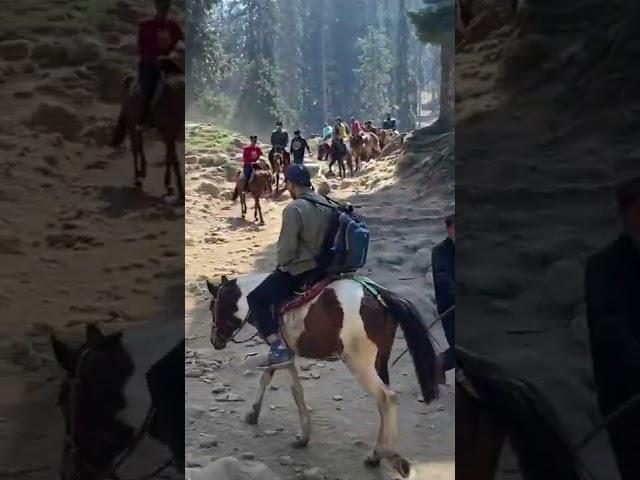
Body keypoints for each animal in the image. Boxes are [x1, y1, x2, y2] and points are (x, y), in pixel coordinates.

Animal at [110, 58, 184, 201]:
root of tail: (129, 79)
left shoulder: (168, 135)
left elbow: (170, 157)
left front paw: (169, 185)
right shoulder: (169, 134)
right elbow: (174, 159)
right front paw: (180, 191)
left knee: (139, 144)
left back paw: (142, 172)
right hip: (131, 123)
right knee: (135, 148)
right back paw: (138, 178)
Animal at [205, 272, 440, 478]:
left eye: (211, 307)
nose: (214, 340)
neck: (253, 297)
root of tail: (379, 295)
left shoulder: (283, 351)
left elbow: (295, 390)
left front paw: (302, 436)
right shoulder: (283, 352)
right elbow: (269, 377)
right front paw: (254, 414)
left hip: (359, 362)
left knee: (387, 397)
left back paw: (390, 456)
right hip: (380, 359)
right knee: (383, 403)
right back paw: (376, 455)